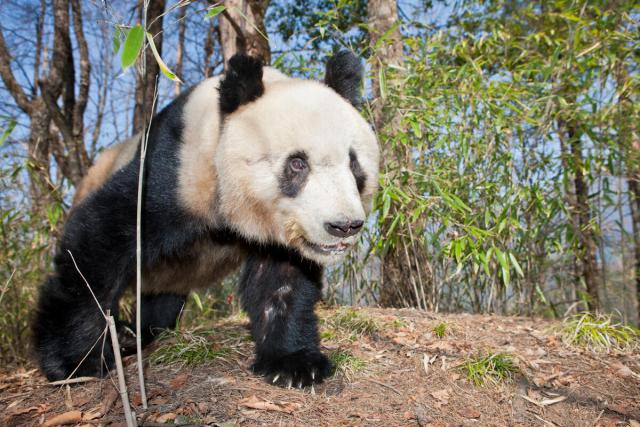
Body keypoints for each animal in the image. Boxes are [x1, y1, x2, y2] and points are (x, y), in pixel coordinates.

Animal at [33, 51, 379, 388]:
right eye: (297, 163)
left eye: (353, 163)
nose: (344, 225)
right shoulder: (178, 173)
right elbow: (101, 242)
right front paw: (75, 361)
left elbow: (281, 278)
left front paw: (293, 364)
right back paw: (125, 336)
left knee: (160, 299)